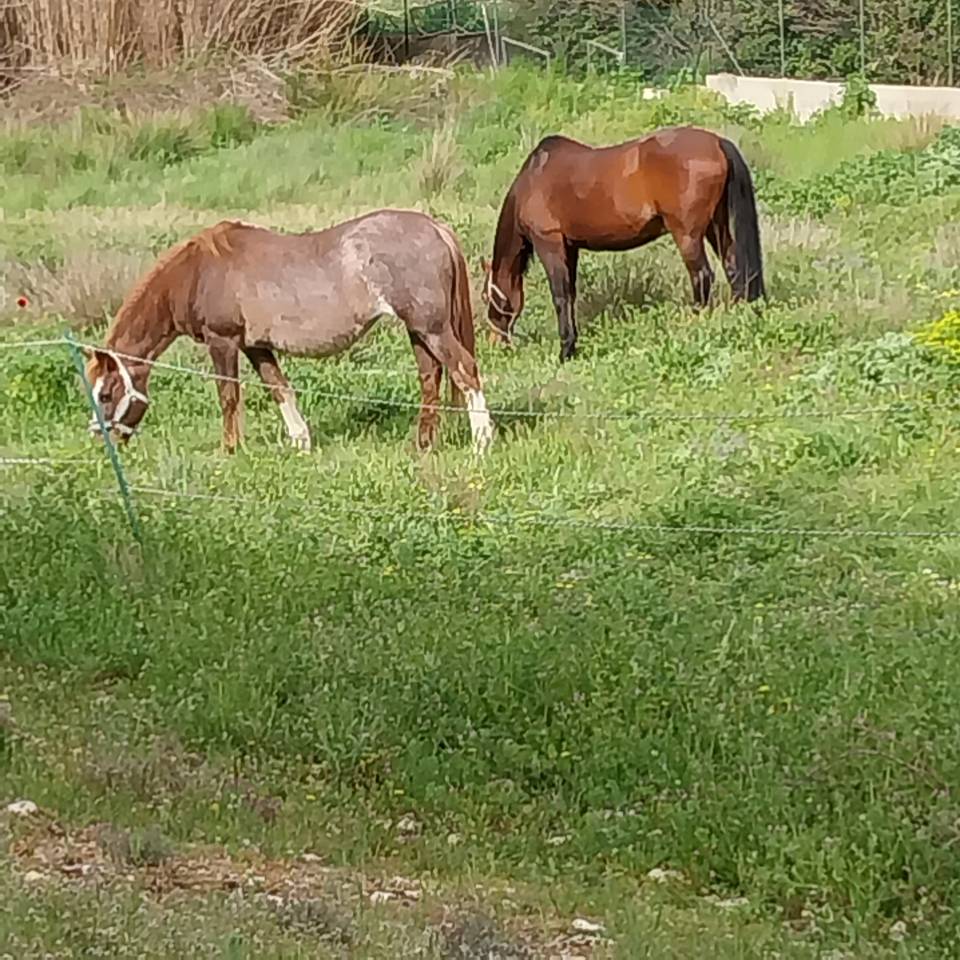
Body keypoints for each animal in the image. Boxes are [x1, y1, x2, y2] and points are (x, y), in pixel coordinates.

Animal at [84, 210, 494, 456]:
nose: (101, 439)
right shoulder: (255, 346)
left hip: (433, 328)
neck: (198, 273)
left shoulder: (223, 341)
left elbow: (228, 397)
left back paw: (481, 441)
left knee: (465, 370)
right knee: (431, 379)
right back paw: (422, 445)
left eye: (105, 393)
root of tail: (436, 228)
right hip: (419, 331)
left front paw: (230, 450)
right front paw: (300, 442)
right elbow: (279, 388)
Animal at [482, 126, 766, 363]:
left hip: (688, 235)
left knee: (702, 276)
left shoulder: (550, 243)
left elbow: (560, 296)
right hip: (716, 227)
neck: (534, 177)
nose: (494, 343)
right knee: (735, 271)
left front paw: (565, 351)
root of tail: (717, 142)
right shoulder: (570, 247)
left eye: (487, 296)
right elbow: (570, 294)